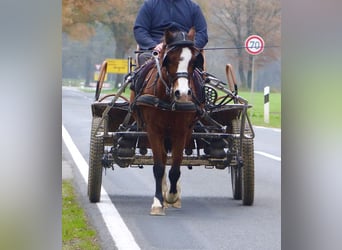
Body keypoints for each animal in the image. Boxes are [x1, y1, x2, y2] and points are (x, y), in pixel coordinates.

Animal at [130, 27, 202, 215]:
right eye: (168, 60)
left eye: (194, 61)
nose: (182, 94)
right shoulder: (154, 130)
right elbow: (159, 167)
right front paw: (158, 202)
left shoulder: (181, 132)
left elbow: (175, 168)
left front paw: (172, 196)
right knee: (162, 159)